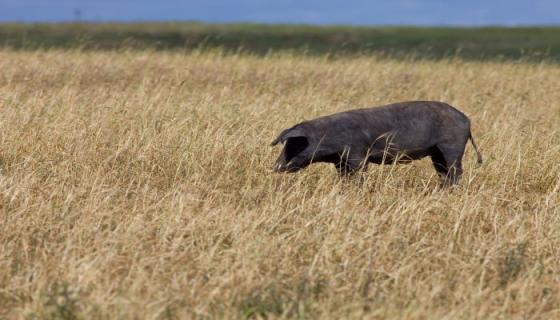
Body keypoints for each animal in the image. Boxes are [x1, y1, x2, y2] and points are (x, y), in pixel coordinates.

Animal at [272, 100, 482, 185]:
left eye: (295, 144)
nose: (275, 167)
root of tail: (468, 120)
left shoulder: (357, 154)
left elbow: (359, 173)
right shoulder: (340, 162)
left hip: (452, 146)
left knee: (456, 171)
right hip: (436, 153)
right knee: (443, 172)